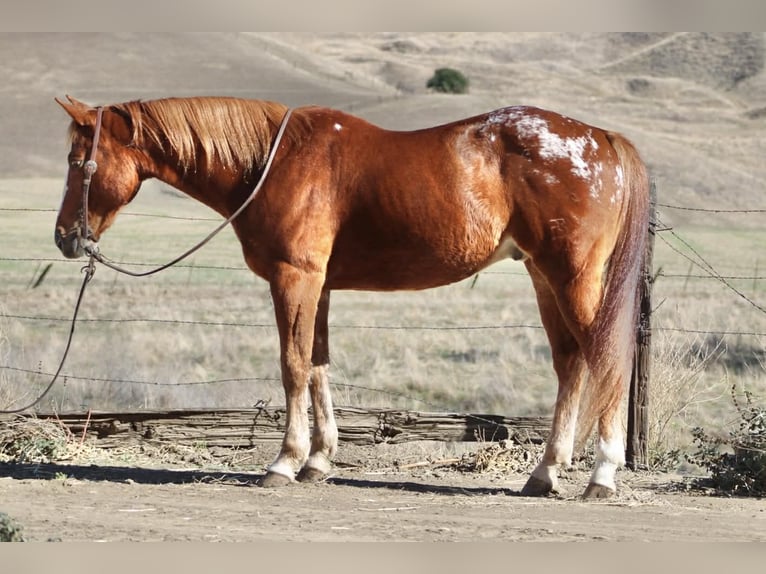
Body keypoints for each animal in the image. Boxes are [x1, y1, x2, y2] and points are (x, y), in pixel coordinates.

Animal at [54, 95, 650, 498]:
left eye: (78, 162)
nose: (65, 237)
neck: (273, 162)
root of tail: (602, 138)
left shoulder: (294, 278)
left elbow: (293, 365)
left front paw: (284, 462)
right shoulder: (318, 287)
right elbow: (318, 365)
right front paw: (318, 461)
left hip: (574, 279)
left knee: (606, 360)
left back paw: (602, 474)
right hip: (544, 278)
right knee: (570, 363)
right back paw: (545, 472)